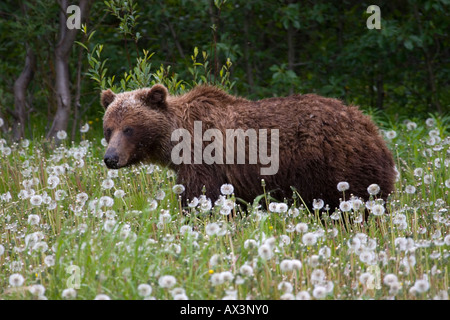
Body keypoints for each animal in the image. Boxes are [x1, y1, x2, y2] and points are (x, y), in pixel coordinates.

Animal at [101, 84, 394, 211]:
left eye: (129, 128)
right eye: (109, 128)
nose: (110, 158)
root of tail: (372, 130)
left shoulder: (204, 160)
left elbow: (199, 196)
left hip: (339, 169)